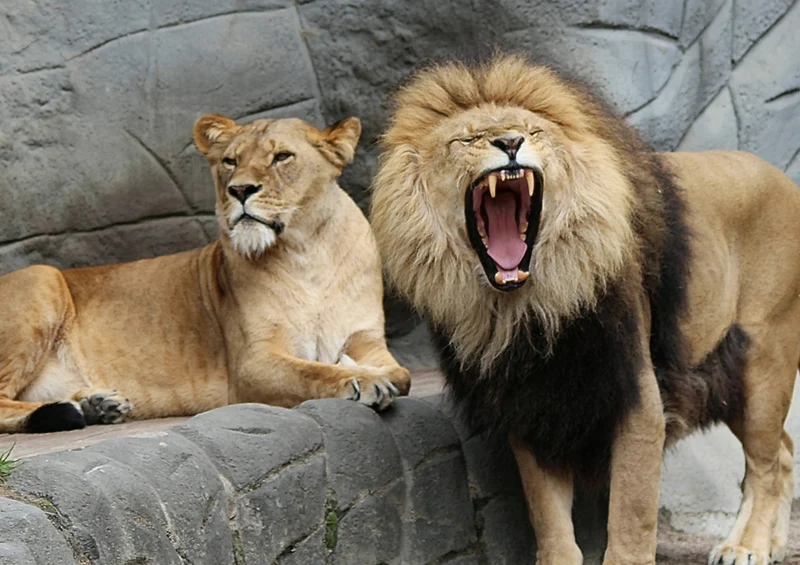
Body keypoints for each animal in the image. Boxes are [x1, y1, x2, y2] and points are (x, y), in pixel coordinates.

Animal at [0, 114, 410, 434]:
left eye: (281, 157)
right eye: (230, 161)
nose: (240, 189)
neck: (308, 254)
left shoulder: (368, 340)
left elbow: (402, 375)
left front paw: (368, 372)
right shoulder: (251, 365)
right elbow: (314, 373)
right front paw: (363, 380)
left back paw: (97, 404)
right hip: (42, 277)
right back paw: (69, 411)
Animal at [370, 53, 799, 565]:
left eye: (533, 132)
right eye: (468, 139)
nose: (510, 143)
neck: (527, 310)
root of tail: (782, 178)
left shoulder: (637, 395)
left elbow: (631, 515)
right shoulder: (530, 405)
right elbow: (548, 516)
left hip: (763, 361)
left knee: (766, 464)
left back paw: (746, 546)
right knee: (784, 452)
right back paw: (773, 543)